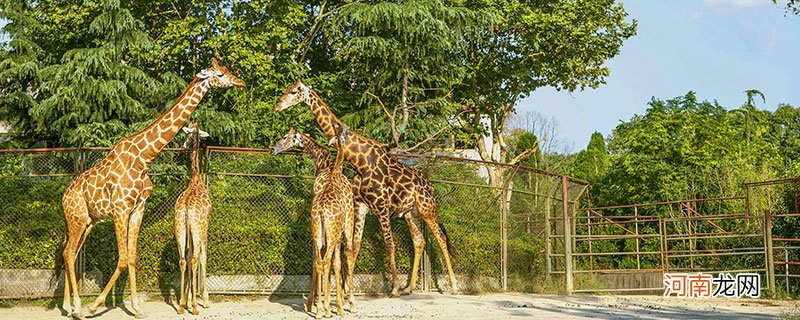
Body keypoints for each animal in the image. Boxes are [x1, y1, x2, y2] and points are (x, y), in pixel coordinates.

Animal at [59, 58, 244, 318]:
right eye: (220, 74)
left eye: (227, 70)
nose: (241, 82)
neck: (144, 157)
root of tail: (64, 196)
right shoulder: (121, 209)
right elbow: (123, 258)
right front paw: (94, 305)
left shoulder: (138, 209)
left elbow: (132, 257)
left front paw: (136, 308)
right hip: (76, 217)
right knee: (68, 253)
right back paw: (77, 307)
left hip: (86, 221)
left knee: (71, 253)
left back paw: (68, 306)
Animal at [270, 125, 354, 316]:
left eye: (285, 136)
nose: (273, 148)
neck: (326, 165)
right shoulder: (340, 229)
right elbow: (336, 263)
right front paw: (328, 303)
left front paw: (316, 302)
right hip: (336, 229)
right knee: (338, 257)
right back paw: (337, 305)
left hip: (325, 231)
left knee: (323, 261)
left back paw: (324, 305)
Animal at [274, 79, 456, 296]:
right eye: (286, 90)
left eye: (293, 92)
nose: (277, 106)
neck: (359, 161)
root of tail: (430, 186)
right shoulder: (361, 205)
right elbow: (354, 247)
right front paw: (346, 289)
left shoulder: (381, 205)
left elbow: (389, 244)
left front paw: (393, 288)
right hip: (410, 212)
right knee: (419, 241)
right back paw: (409, 287)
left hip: (427, 209)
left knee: (441, 238)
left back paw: (453, 286)